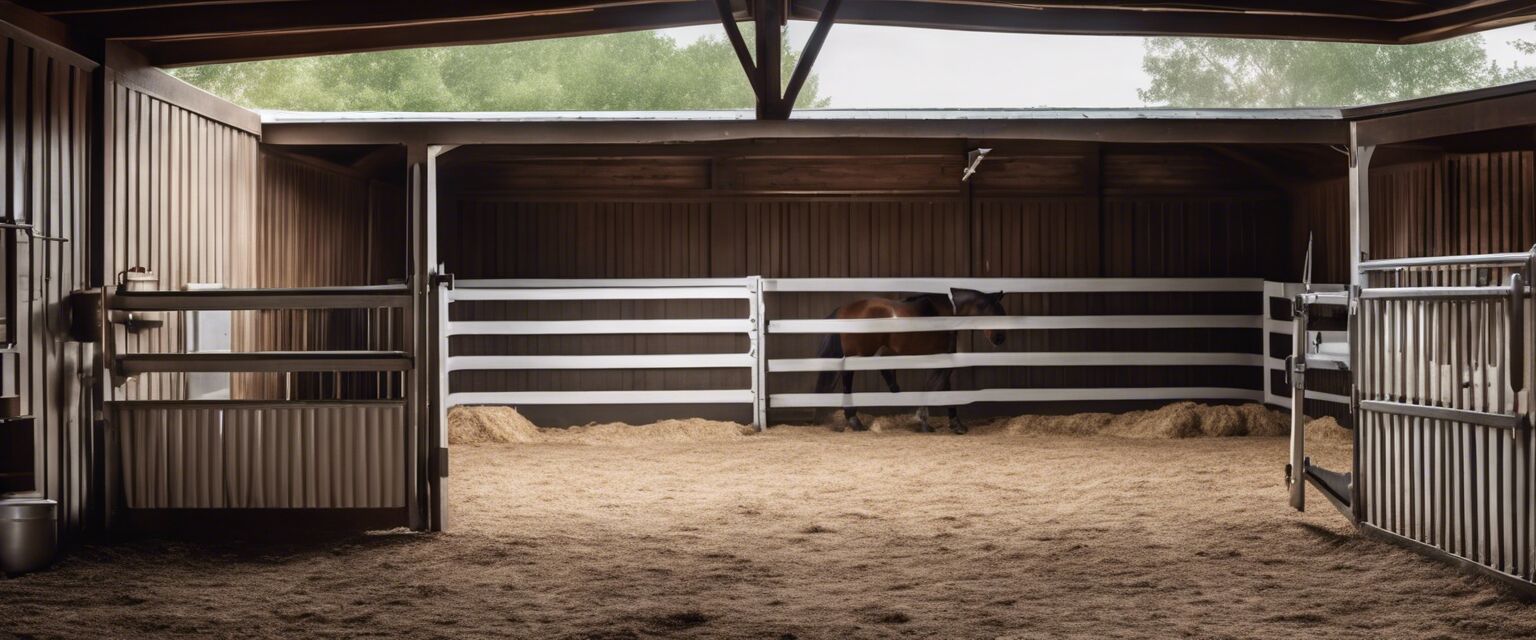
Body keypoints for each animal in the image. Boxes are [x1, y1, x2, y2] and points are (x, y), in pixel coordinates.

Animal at [817, 288, 1007, 432]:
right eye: (996, 313)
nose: (1000, 338)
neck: (949, 312)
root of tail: (843, 310)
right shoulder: (944, 358)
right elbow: (938, 387)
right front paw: (928, 421)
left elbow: (943, 387)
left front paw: (952, 424)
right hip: (859, 355)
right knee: (848, 378)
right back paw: (854, 420)